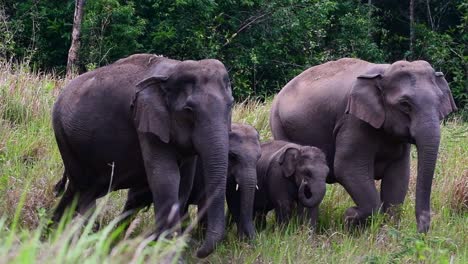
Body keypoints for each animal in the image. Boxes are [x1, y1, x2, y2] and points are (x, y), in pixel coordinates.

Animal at [52, 53, 234, 258]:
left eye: (231, 105)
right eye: (189, 110)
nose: (198, 251)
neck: (173, 69)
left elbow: (184, 183)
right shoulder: (146, 121)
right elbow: (165, 177)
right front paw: (168, 255)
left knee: (81, 188)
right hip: (64, 136)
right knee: (83, 189)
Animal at [270, 58, 458, 233]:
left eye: (439, 101)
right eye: (405, 104)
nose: (421, 232)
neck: (384, 72)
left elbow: (399, 175)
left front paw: (387, 234)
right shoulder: (352, 121)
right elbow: (347, 167)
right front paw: (350, 216)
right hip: (279, 125)